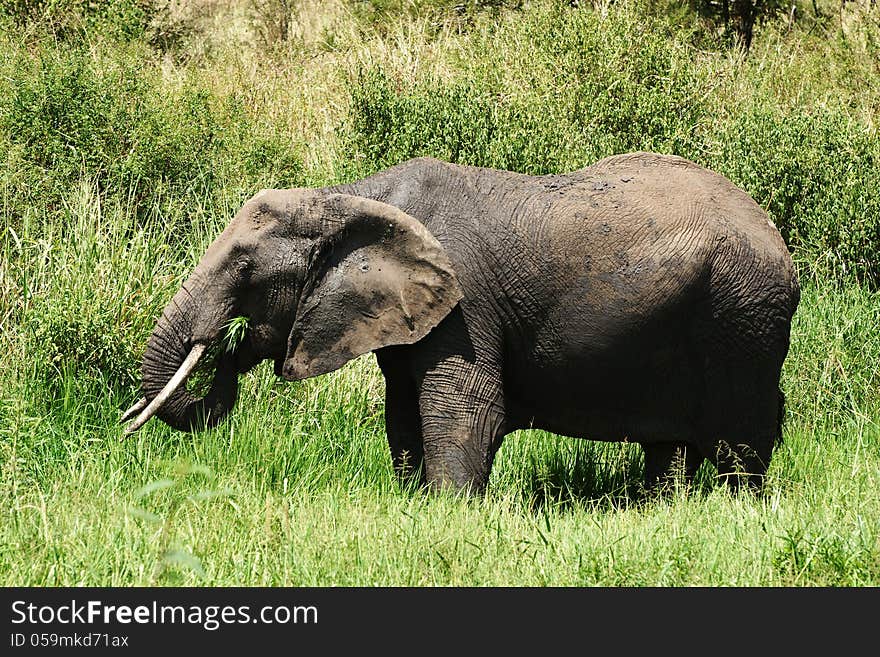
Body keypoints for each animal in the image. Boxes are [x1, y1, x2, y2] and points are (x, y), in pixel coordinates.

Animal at [120, 151, 800, 492]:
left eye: (245, 269)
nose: (228, 345)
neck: (351, 196)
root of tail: (774, 233)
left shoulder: (465, 307)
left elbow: (465, 410)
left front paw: (448, 510)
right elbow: (401, 414)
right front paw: (409, 502)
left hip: (743, 316)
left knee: (742, 439)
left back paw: (739, 508)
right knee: (671, 446)